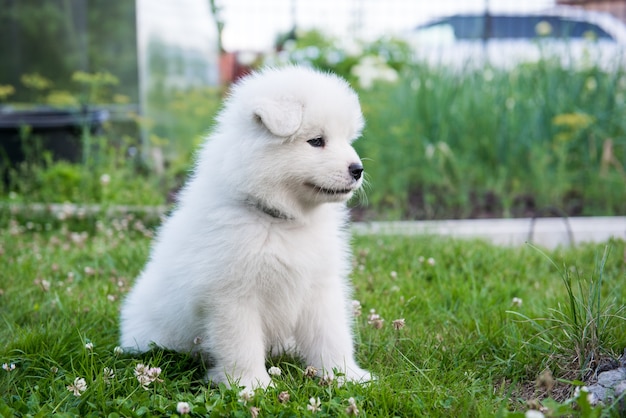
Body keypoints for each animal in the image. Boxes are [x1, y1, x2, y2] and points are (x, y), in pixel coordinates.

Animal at [119, 65, 368, 388]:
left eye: (347, 139)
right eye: (316, 141)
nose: (358, 169)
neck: (279, 220)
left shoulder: (319, 286)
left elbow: (332, 336)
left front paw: (346, 376)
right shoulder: (232, 296)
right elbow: (242, 345)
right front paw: (252, 386)